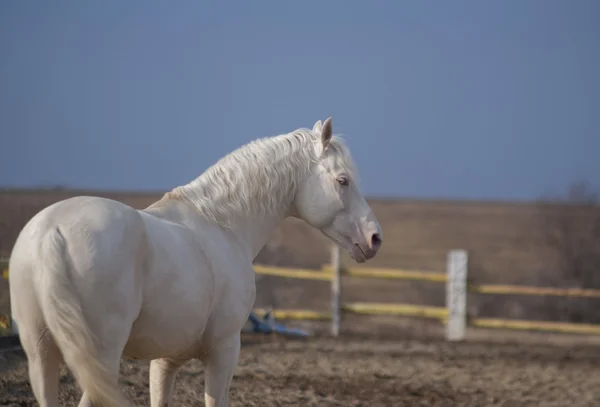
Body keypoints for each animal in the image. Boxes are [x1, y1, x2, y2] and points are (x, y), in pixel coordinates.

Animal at [9, 118, 382, 407]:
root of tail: (53, 231)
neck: (221, 224)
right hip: (98, 359)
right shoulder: (224, 351)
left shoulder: (164, 361)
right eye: (343, 180)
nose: (374, 238)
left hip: (42, 356)